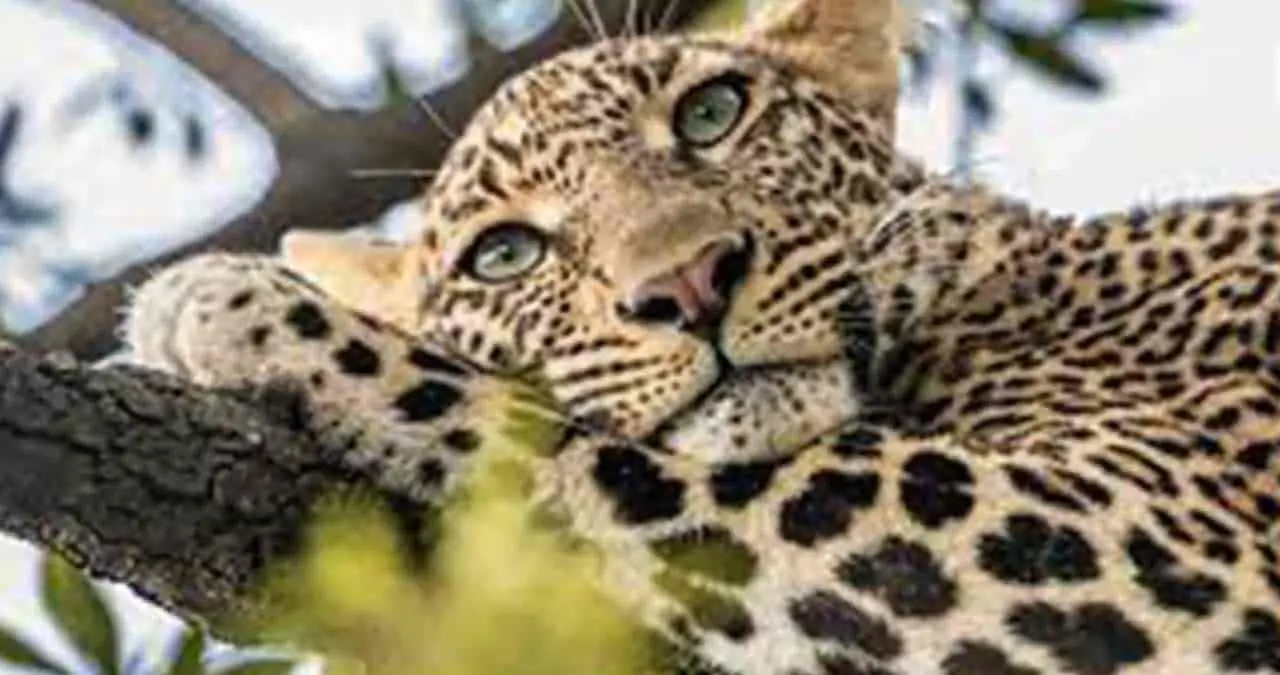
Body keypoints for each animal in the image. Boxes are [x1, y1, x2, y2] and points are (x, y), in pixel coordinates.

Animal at [120, 0, 1280, 672]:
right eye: (505, 254)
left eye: (713, 114)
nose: (687, 282)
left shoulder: (1151, 541)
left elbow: (559, 431)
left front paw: (230, 306)